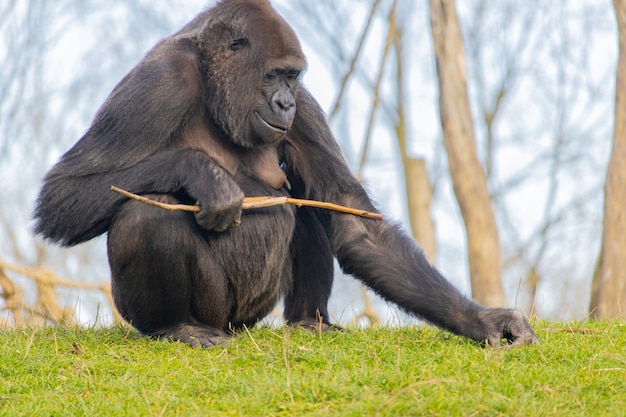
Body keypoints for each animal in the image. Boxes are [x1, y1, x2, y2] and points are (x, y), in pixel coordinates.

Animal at [33, 0, 536, 348]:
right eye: (273, 75)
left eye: (293, 78)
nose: (284, 103)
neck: (214, 84)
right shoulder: (159, 80)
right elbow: (62, 197)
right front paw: (202, 173)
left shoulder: (307, 109)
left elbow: (351, 218)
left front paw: (483, 321)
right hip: (209, 317)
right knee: (149, 212)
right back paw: (177, 326)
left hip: (250, 317)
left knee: (311, 210)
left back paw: (310, 321)